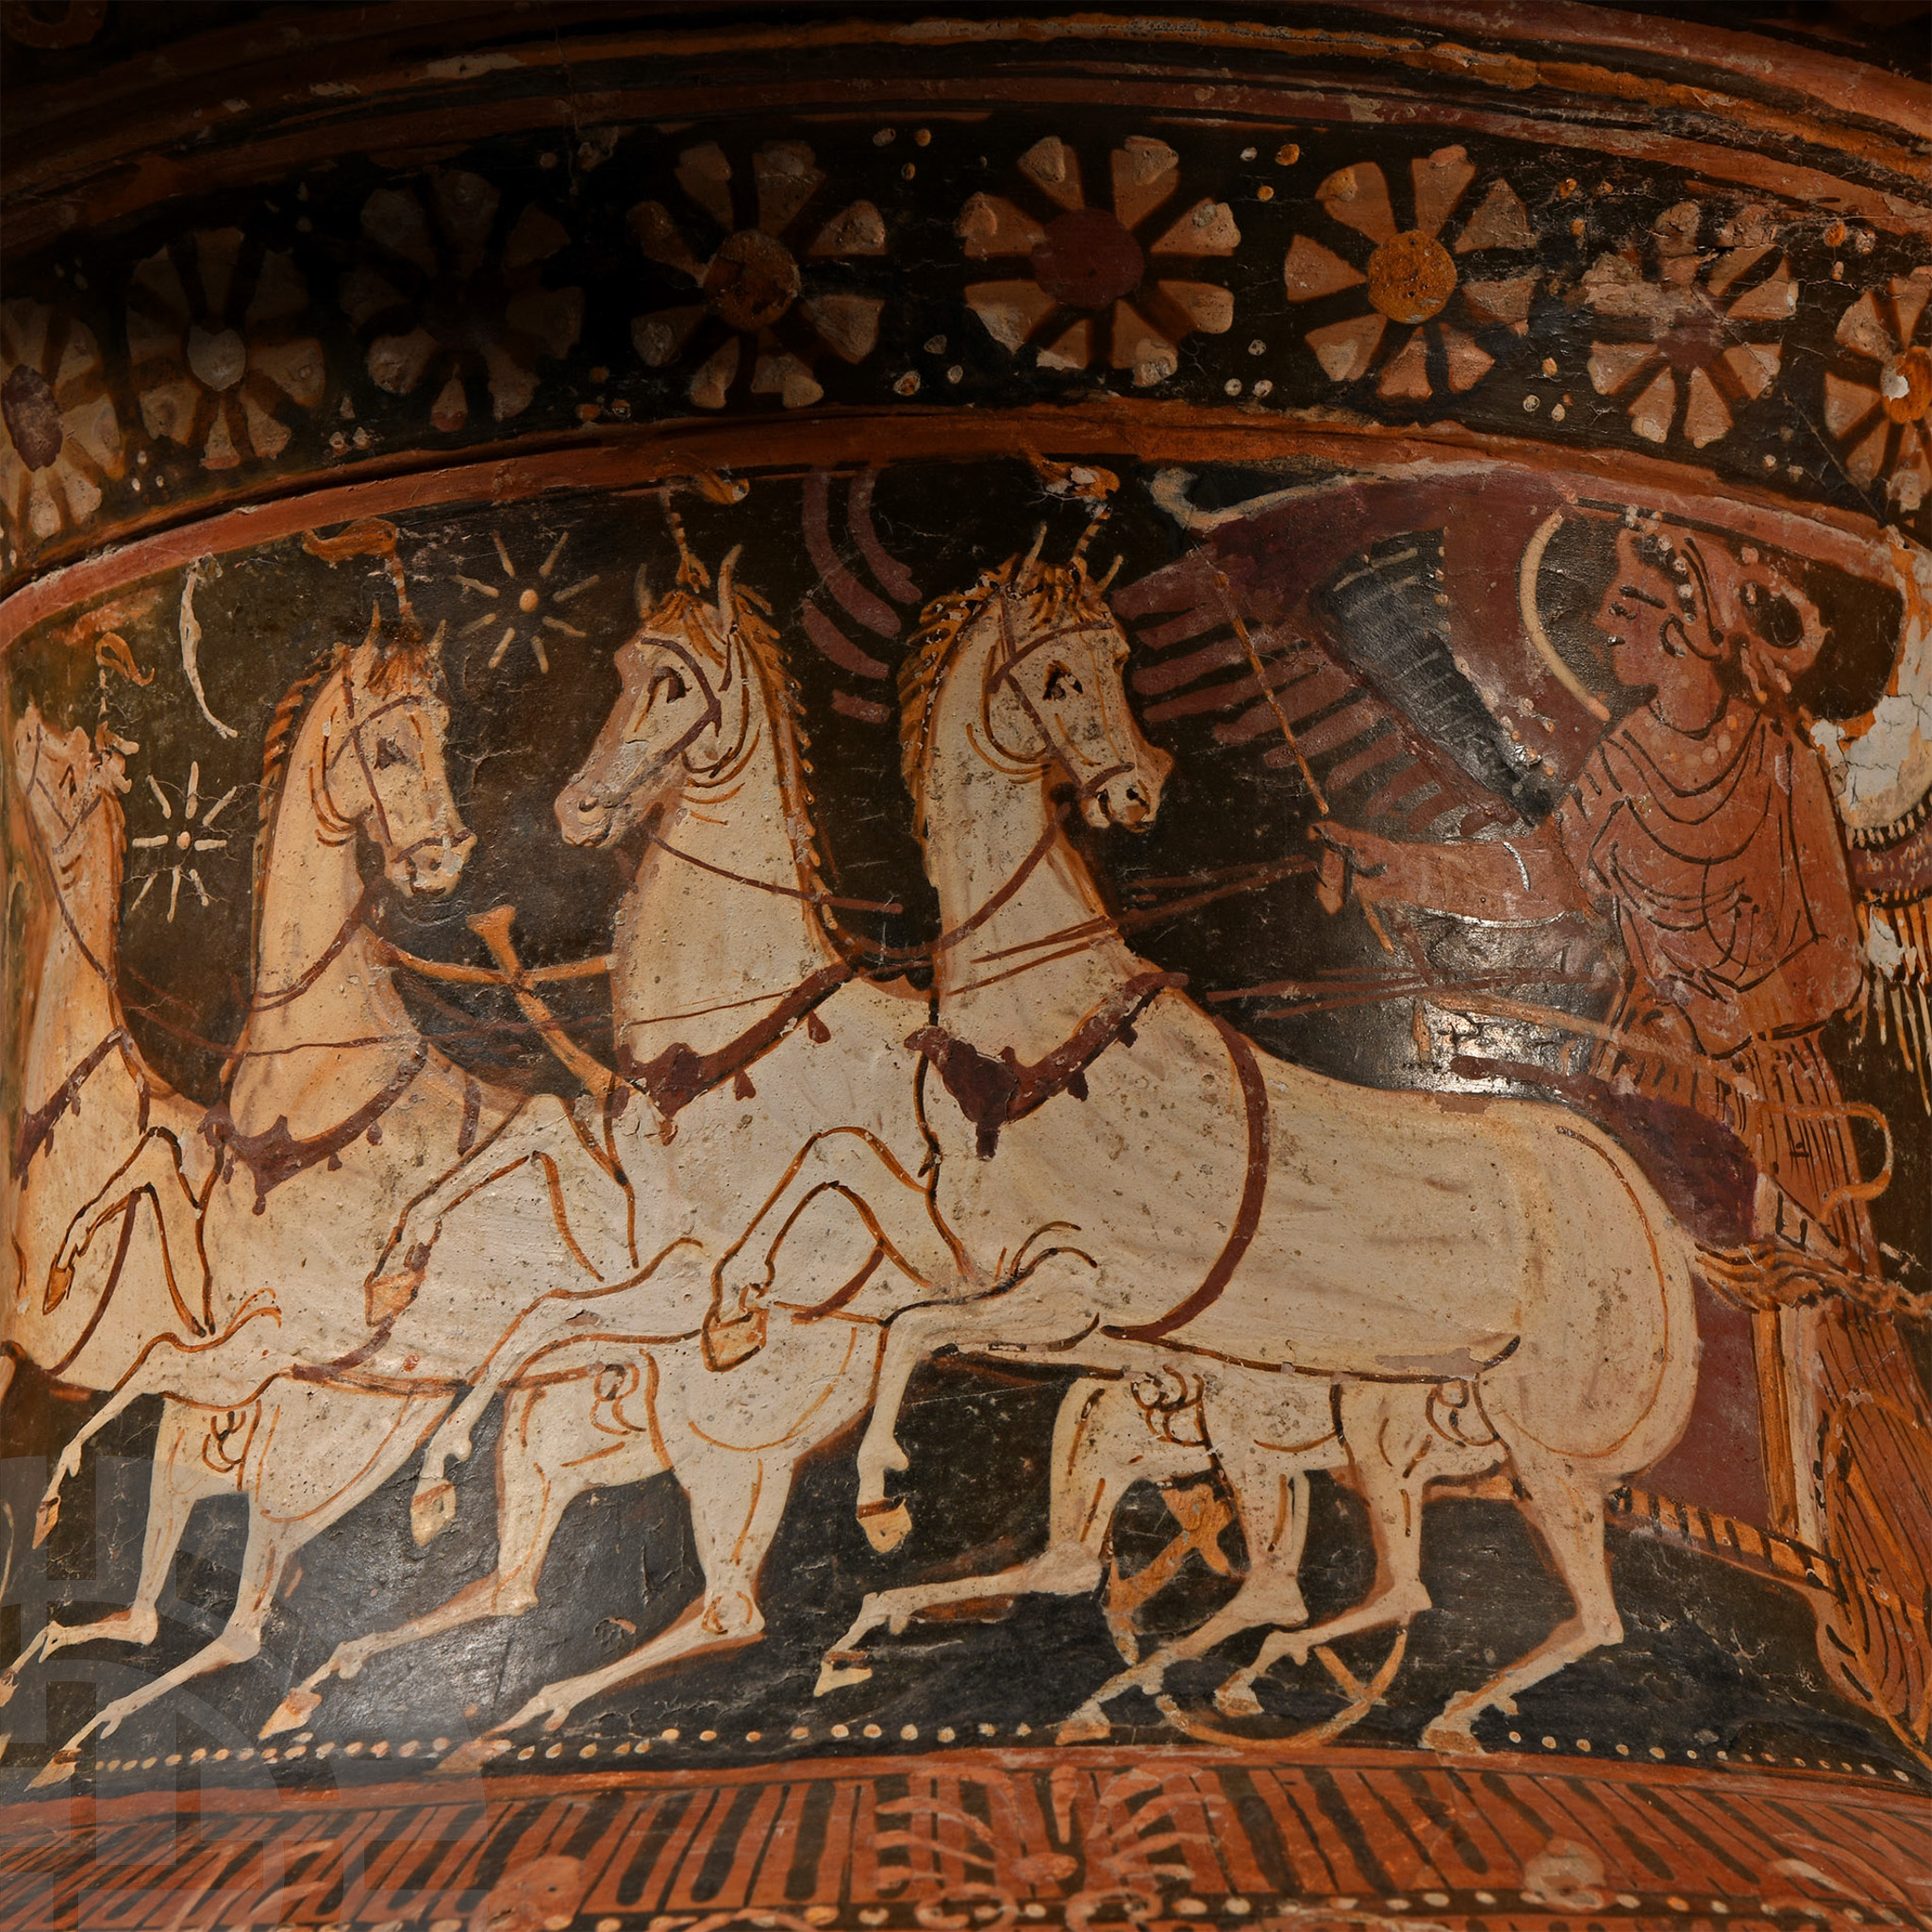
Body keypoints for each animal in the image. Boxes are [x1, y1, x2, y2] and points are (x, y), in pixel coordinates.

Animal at [718, 544, 1700, 1754]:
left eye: (1115, 657)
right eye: (1054, 675)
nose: (1134, 788)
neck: (1044, 1016)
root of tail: (1627, 1196)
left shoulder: (1075, 1295)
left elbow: (905, 1330)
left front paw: (879, 1497)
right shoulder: (988, 1261)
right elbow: (838, 1161)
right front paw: (734, 1304)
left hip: (1523, 1436)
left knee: (1568, 1608)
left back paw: (1424, 1708)